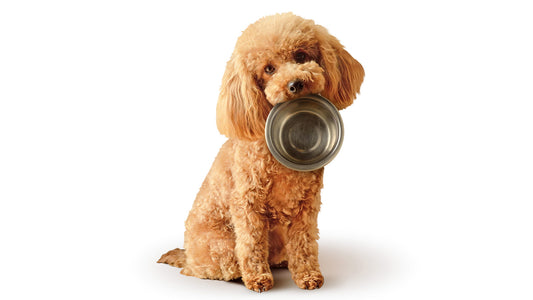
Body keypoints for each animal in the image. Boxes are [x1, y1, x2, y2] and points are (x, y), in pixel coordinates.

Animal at [158, 12, 364, 292]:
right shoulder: (247, 202)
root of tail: (187, 255)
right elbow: (251, 243)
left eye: (300, 56)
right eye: (269, 69)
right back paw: (236, 274)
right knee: (213, 266)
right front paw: (258, 278)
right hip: (220, 246)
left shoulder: (307, 205)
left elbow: (304, 243)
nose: (295, 83)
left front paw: (308, 275)